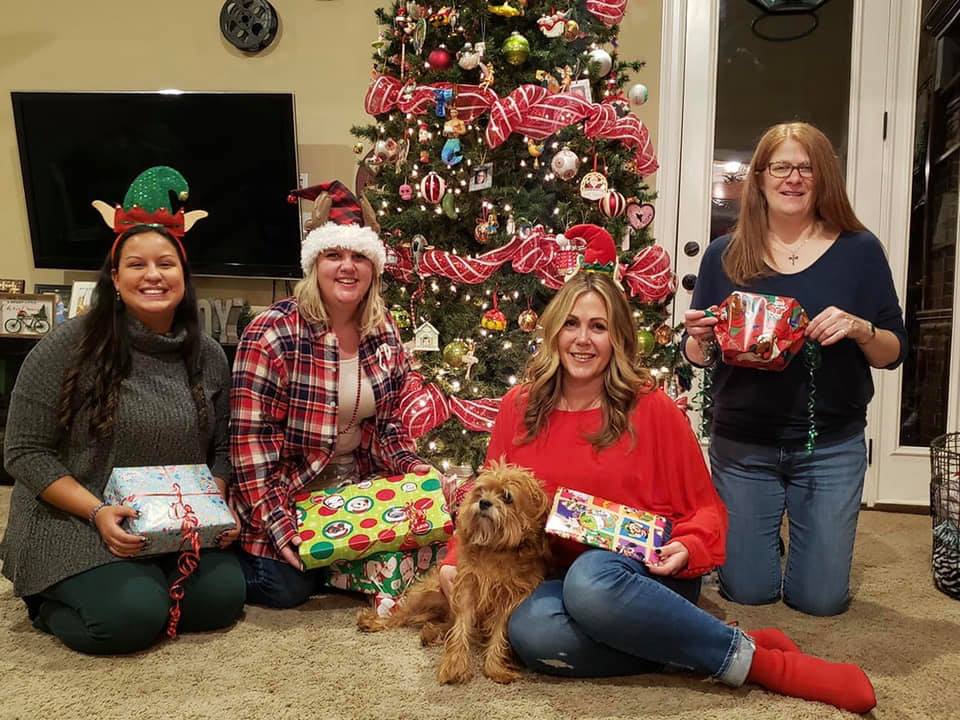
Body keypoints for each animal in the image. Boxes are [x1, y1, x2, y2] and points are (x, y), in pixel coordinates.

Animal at [357, 460, 551, 684]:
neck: (496, 549)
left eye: (507, 497)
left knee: (444, 623)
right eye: (481, 490)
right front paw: (455, 666)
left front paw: (494, 668)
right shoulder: (467, 589)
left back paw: (431, 632)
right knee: (402, 614)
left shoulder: (509, 600)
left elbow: (498, 634)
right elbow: (461, 628)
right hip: (426, 595)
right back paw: (375, 622)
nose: (484, 502)